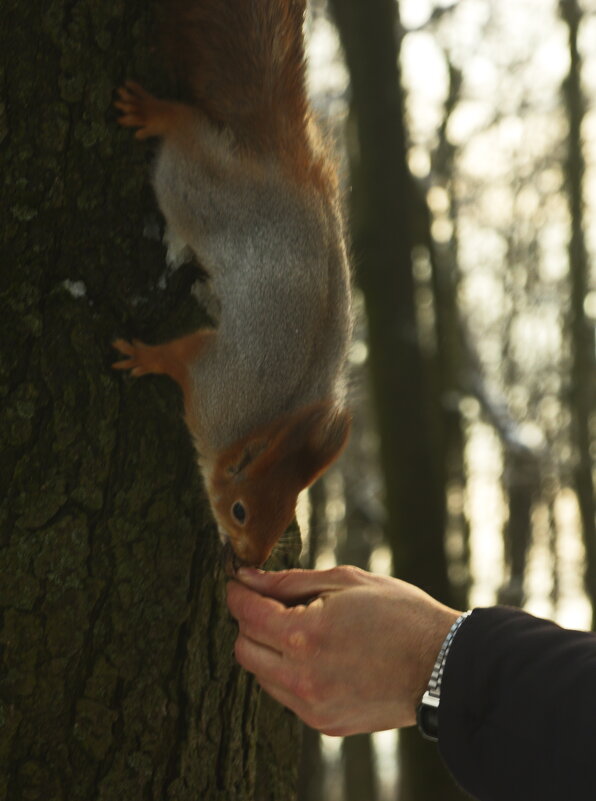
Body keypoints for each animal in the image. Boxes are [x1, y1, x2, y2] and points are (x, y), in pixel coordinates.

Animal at [114, 0, 352, 564]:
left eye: (287, 517)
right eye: (241, 510)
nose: (250, 561)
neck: (265, 422)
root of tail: (282, 161)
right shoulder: (211, 386)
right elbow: (179, 354)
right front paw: (143, 357)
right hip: (198, 192)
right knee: (183, 135)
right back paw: (155, 113)